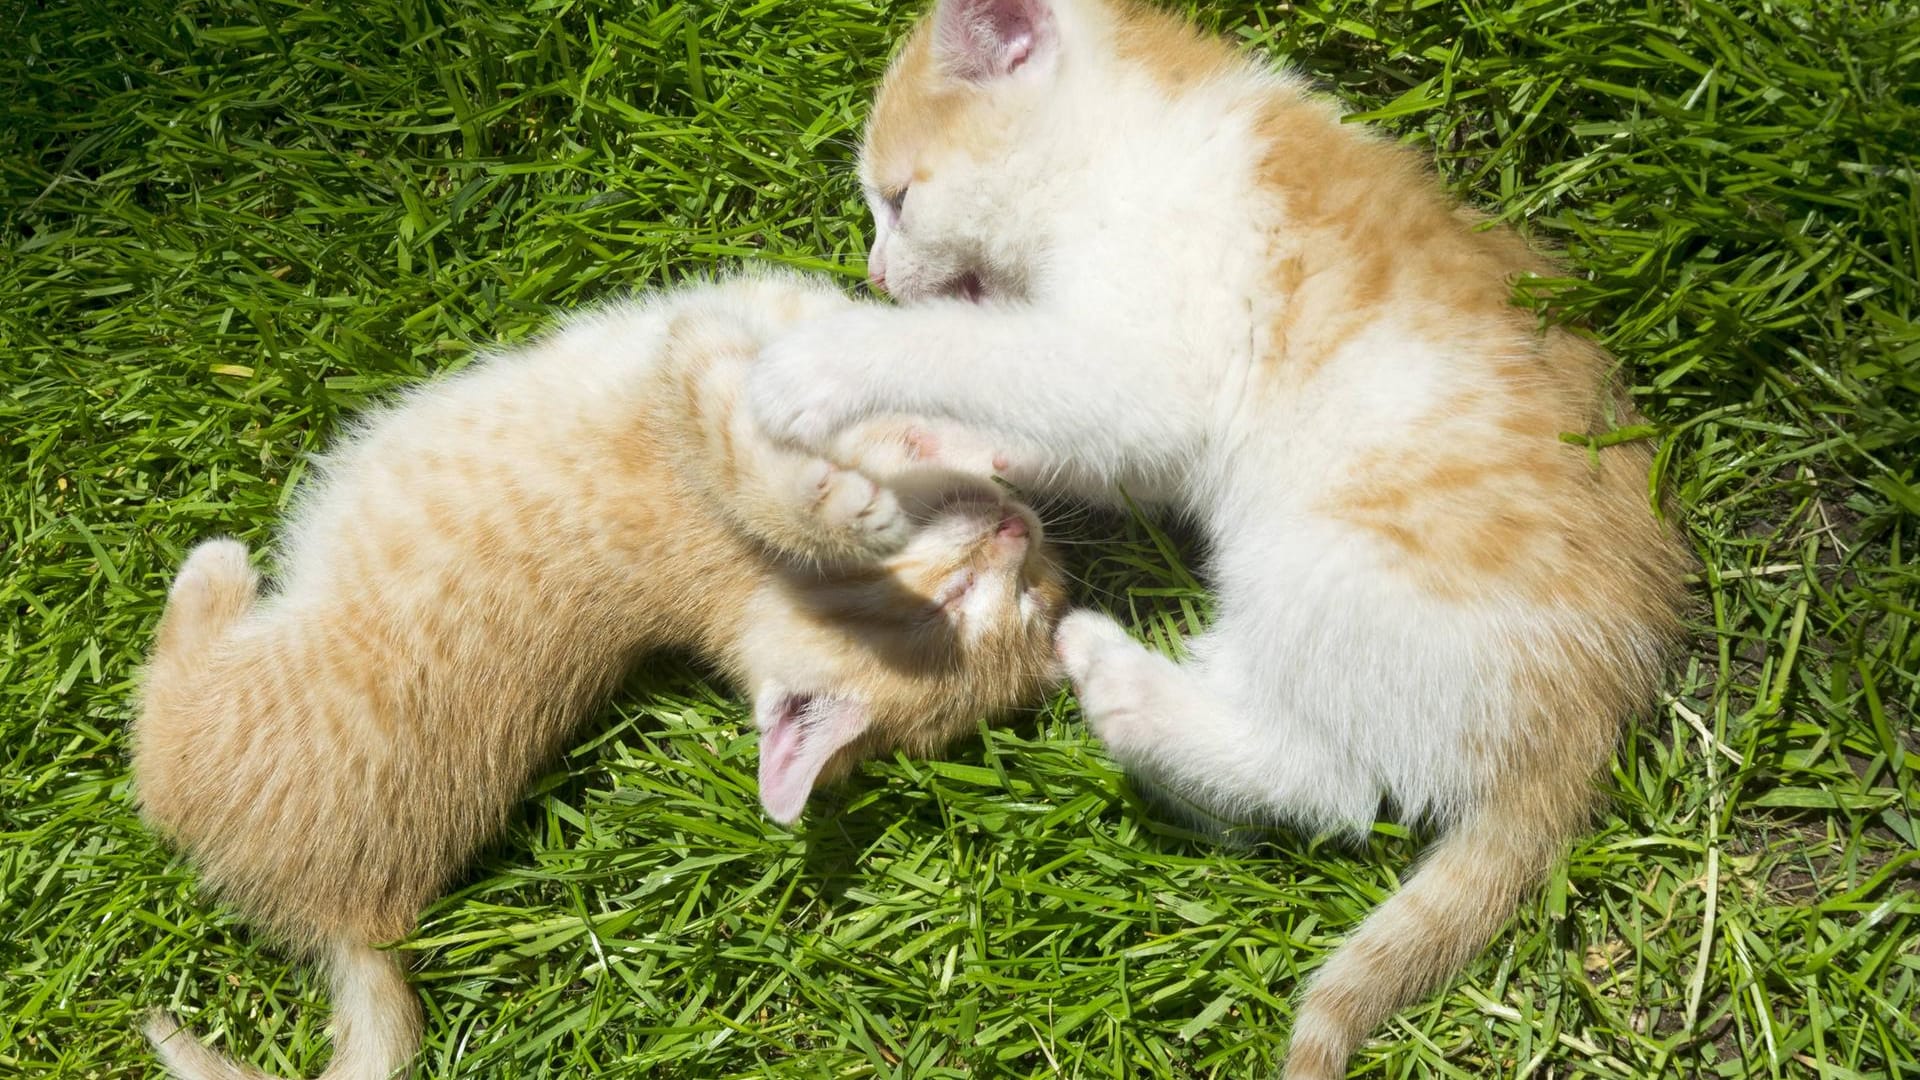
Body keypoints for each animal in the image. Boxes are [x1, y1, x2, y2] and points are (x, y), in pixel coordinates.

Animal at [135, 270, 1067, 1076]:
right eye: (968, 600)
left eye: (1012, 602)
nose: (1017, 535)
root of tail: (358, 919)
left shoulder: (696, 384)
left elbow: (747, 434)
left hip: (213, 711)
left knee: (156, 729)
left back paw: (211, 573)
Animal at [748, 4, 1697, 1068]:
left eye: (899, 199)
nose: (874, 271)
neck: (1132, 142)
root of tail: (1594, 711)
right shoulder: (1144, 415)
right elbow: (1085, 438)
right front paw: (940, 447)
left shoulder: (1152, 348)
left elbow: (984, 353)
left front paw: (821, 367)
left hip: (1327, 565)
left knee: (1335, 782)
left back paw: (1121, 685)